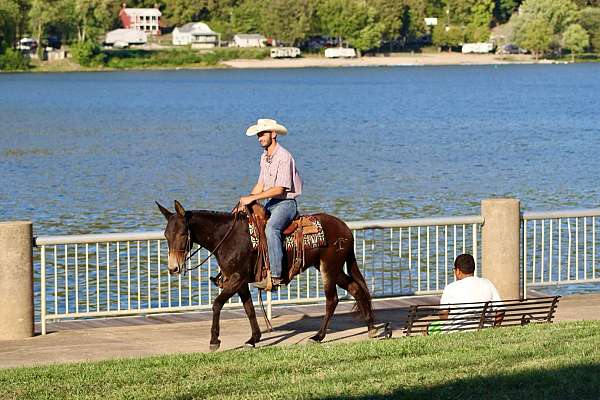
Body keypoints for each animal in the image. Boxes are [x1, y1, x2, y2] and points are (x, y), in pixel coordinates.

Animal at [157, 200, 384, 350]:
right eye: (166, 235)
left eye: (183, 234)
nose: (173, 268)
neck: (228, 237)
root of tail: (345, 229)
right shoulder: (240, 282)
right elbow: (249, 309)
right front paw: (254, 338)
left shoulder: (236, 279)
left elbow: (217, 304)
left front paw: (214, 341)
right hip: (333, 269)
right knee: (356, 289)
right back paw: (371, 328)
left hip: (329, 268)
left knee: (332, 299)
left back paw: (318, 336)